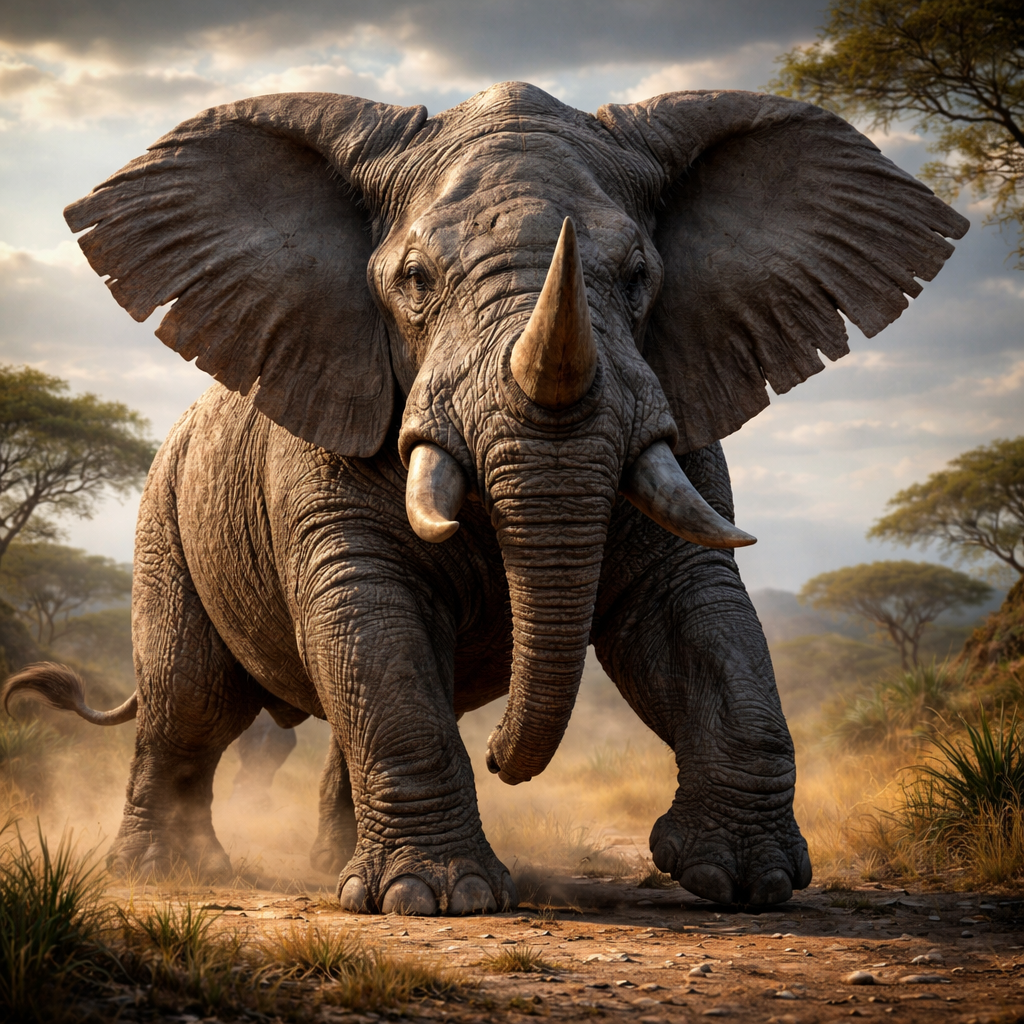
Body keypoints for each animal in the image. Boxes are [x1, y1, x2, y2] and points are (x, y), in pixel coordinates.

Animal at [2, 82, 967, 914]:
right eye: (416, 280)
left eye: (639, 275)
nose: (506, 761)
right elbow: (370, 618)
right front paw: (436, 901)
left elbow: (698, 618)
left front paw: (747, 881)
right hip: (164, 518)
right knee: (188, 702)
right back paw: (169, 870)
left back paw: (325, 865)